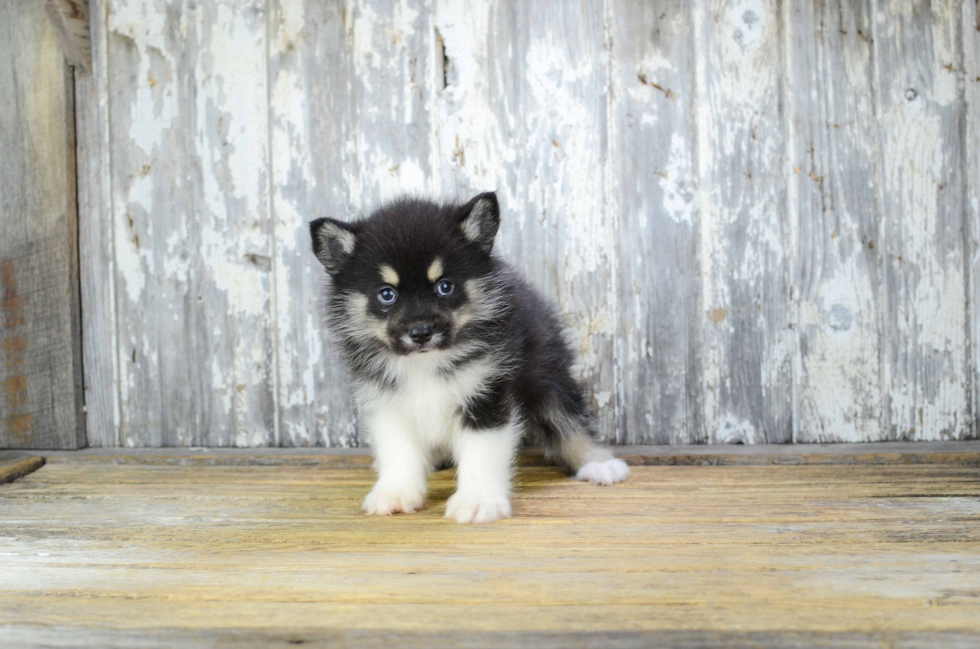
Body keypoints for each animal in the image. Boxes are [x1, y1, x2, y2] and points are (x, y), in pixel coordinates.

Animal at [310, 192, 632, 520]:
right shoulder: (387, 403)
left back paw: (599, 463)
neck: (425, 362)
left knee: (569, 422)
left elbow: (482, 454)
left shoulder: (487, 395)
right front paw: (396, 492)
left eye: (445, 286)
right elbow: (399, 451)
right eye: (387, 294)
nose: (420, 332)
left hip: (547, 376)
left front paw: (477, 502)